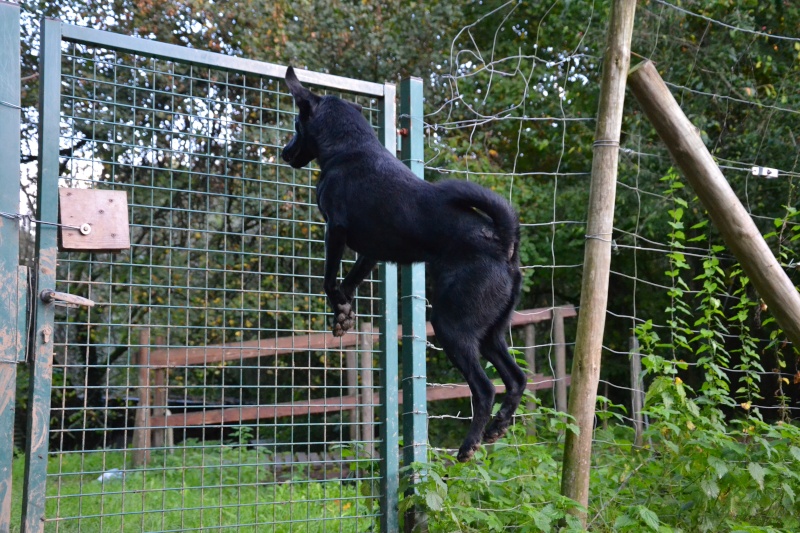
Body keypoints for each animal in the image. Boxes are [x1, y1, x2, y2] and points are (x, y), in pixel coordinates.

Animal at [280, 66, 524, 462]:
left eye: (296, 125)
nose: (285, 152)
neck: (350, 148)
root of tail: (501, 242)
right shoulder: (372, 251)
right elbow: (349, 282)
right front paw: (343, 314)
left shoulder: (336, 229)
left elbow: (329, 279)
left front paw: (338, 307)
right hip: (490, 332)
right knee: (517, 379)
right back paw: (498, 426)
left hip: (451, 325)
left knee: (485, 388)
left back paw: (469, 444)